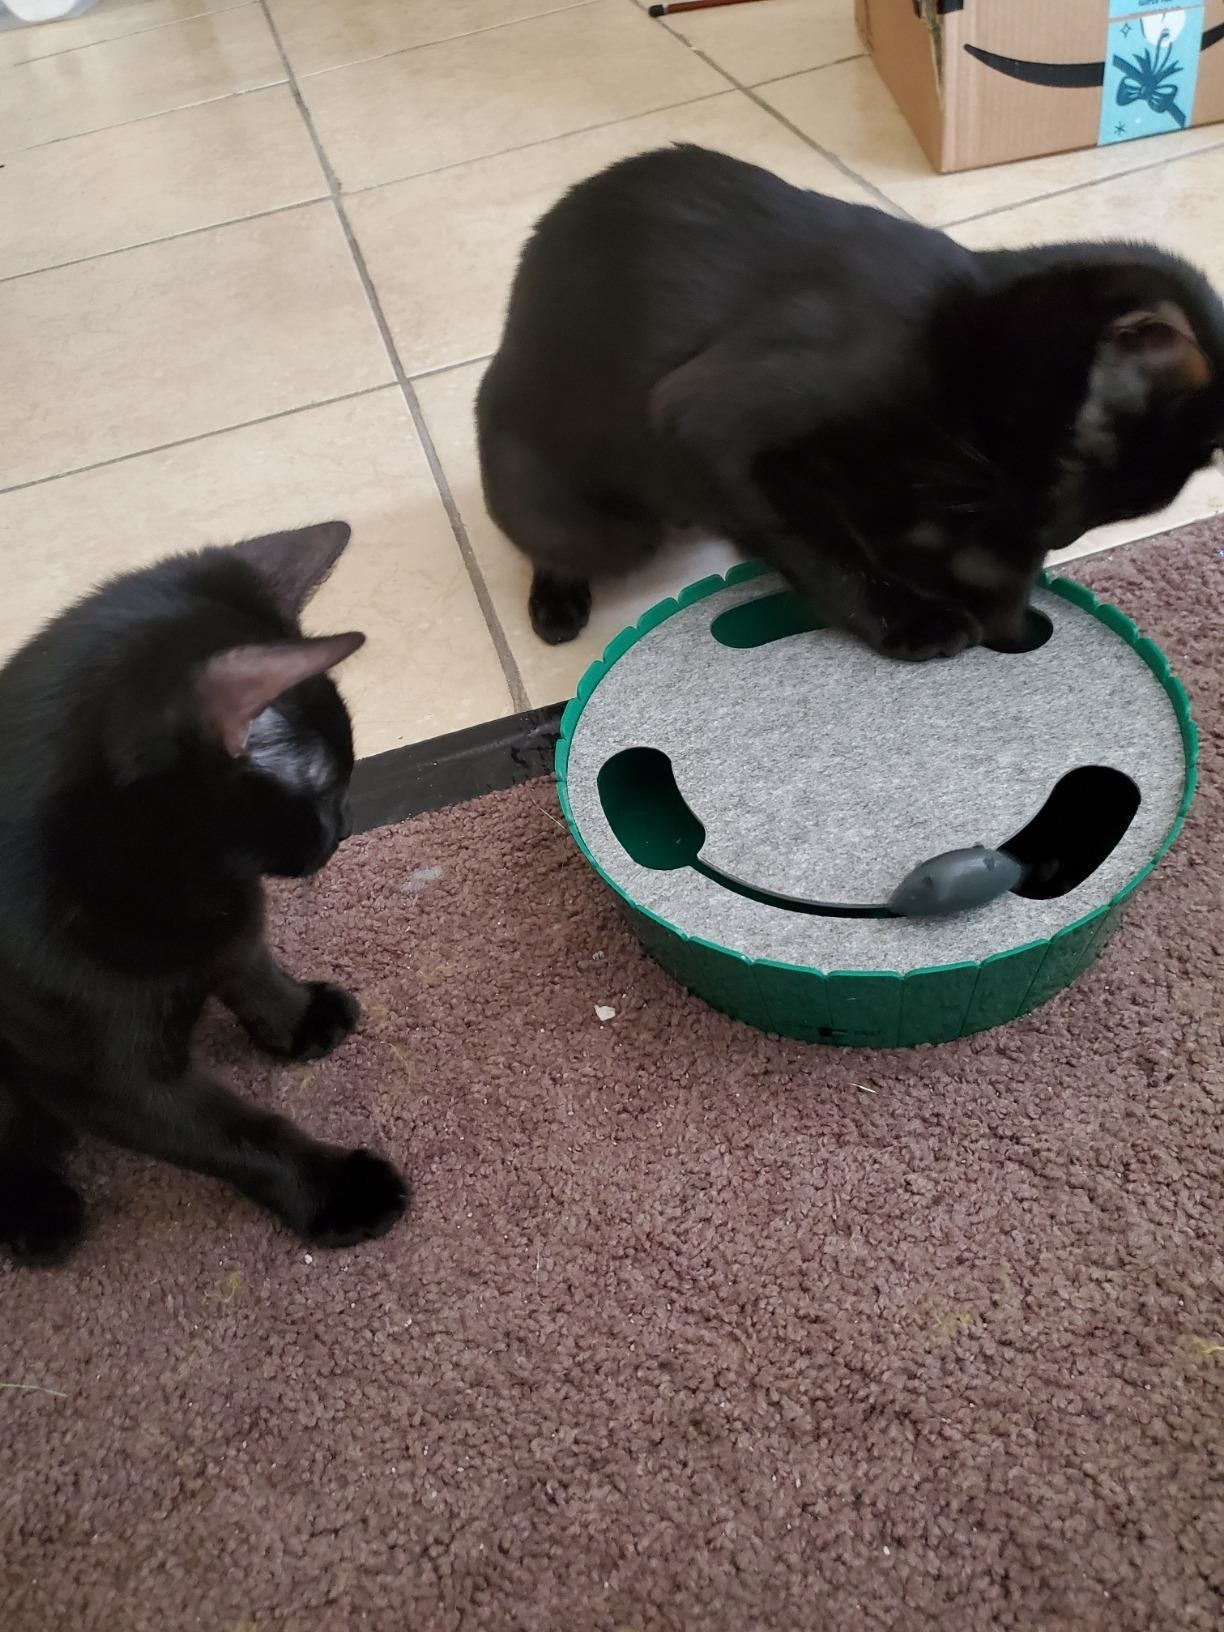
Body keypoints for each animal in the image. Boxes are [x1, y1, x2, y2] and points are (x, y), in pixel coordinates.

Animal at [0, 518, 412, 1259]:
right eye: (328, 784)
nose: (343, 826)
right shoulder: (106, 1081)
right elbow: (236, 1137)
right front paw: (336, 1189)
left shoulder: (230, 920)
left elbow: (250, 963)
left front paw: (300, 1017)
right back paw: (35, 1212)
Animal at [483, 141, 1224, 662]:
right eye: (1075, 461)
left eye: (1117, 515)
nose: (1059, 531)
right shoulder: (710, 424)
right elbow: (821, 548)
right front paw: (916, 620)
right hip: (589, 510)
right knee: (551, 543)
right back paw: (556, 603)